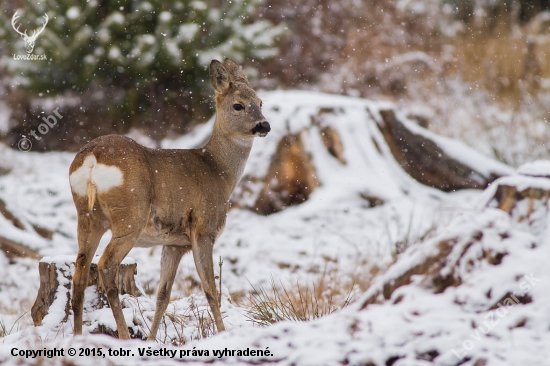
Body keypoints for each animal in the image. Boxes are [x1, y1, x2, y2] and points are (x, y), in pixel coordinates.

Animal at [69, 58, 272, 340]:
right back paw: (123, 335)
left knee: (79, 273)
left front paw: (152, 339)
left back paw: (77, 337)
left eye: (260, 102)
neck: (218, 172)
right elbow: (210, 290)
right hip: (130, 215)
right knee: (105, 265)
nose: (264, 125)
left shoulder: (174, 243)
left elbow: (163, 296)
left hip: (87, 216)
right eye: (238, 105)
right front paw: (222, 333)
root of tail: (92, 158)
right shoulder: (204, 228)